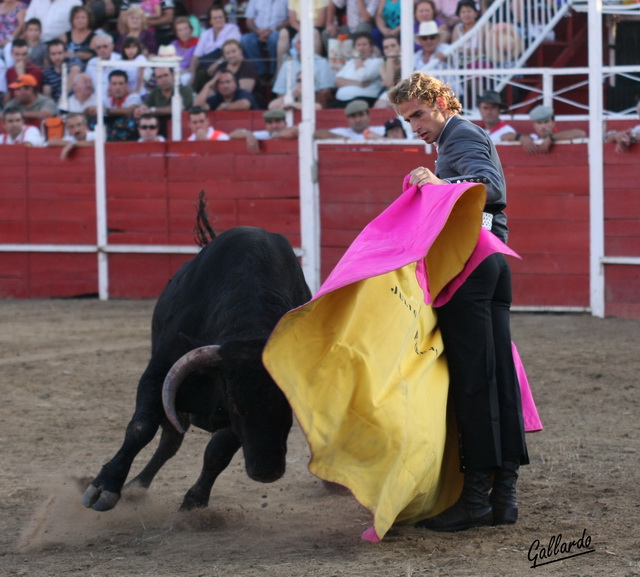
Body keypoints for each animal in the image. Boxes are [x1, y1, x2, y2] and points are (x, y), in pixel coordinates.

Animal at [81, 215, 312, 508]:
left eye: (292, 400)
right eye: (232, 398)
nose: (266, 471)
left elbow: (217, 451)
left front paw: (194, 502)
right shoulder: (159, 374)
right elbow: (141, 428)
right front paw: (104, 486)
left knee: (172, 442)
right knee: (170, 440)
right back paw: (135, 487)